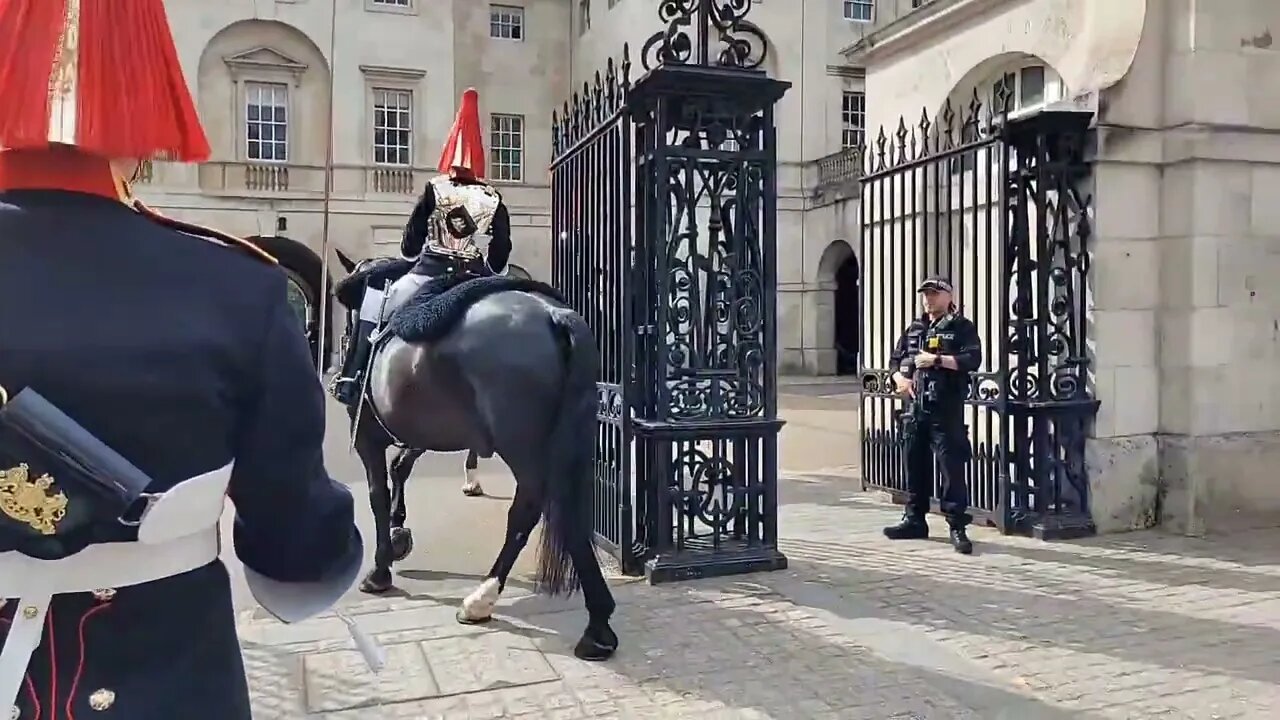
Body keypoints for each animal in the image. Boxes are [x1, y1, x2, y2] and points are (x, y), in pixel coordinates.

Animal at [332, 249, 616, 661]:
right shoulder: (422, 429)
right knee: (567, 511)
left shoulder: (370, 437)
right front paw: (400, 533)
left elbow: (377, 495)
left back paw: (482, 599)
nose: (341, 380)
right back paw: (598, 625)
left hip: (523, 448)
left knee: (531, 509)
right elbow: (400, 467)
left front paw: (381, 567)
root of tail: (554, 315)